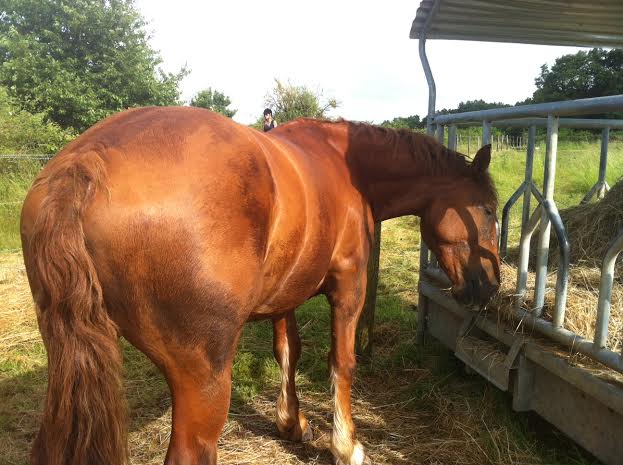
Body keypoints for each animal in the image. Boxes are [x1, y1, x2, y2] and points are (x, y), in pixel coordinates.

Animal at [22, 106, 502, 464]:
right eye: (488, 210)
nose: (491, 288)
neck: (348, 168)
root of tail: (85, 163)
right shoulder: (349, 286)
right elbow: (341, 362)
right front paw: (345, 445)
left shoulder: (286, 294)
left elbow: (288, 351)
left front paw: (292, 422)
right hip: (203, 384)